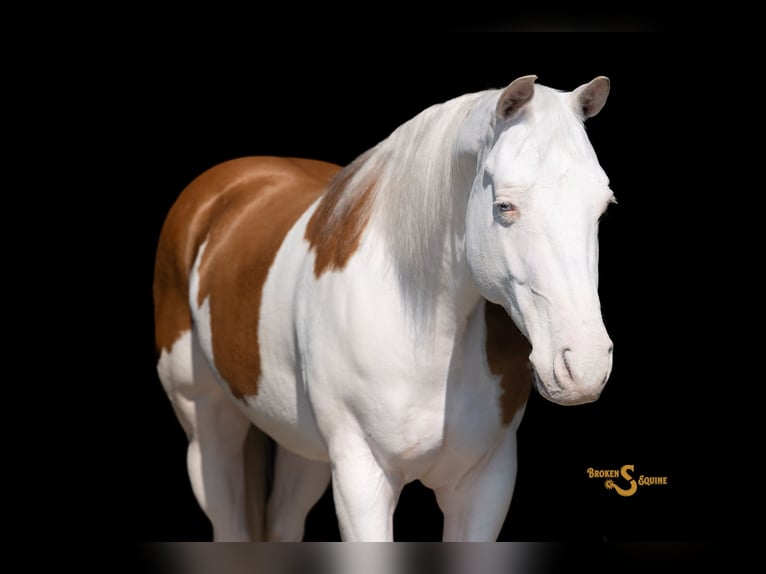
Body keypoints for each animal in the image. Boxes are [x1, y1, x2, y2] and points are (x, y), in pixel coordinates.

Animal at [153, 74, 615, 542]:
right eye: (504, 205)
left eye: (602, 210)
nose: (584, 368)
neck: (422, 331)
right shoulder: (362, 478)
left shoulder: (484, 483)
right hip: (207, 426)